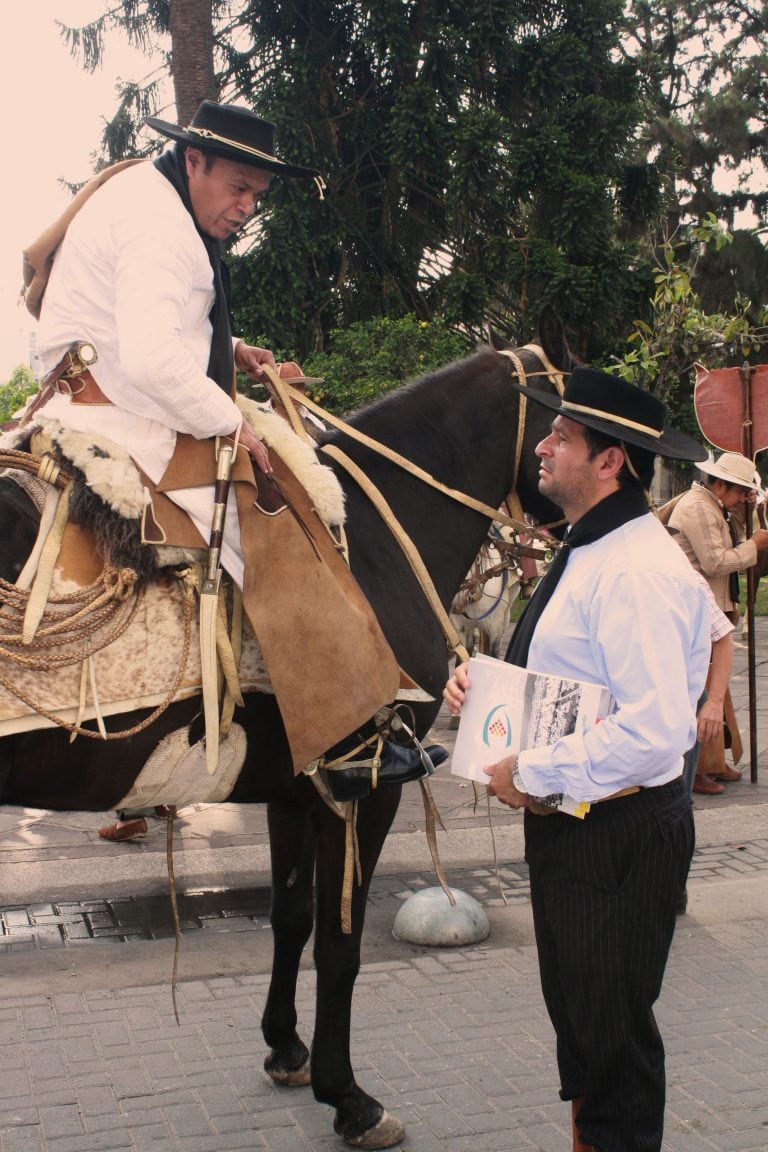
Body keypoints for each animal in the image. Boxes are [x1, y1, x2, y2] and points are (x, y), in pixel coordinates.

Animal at [0, 320, 575, 1147]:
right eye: (579, 408)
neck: (372, 540)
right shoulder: (364, 783)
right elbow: (340, 944)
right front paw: (348, 1095)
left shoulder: (293, 788)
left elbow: (292, 916)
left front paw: (286, 1048)